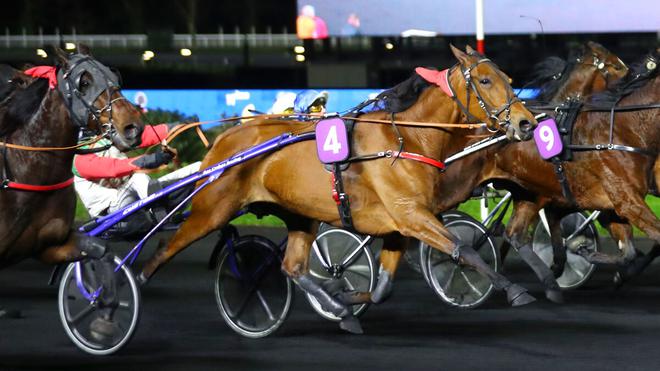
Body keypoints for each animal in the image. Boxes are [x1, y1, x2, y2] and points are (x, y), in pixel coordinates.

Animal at [0, 46, 145, 318]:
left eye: (114, 75)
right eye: (83, 82)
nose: (133, 127)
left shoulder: (49, 245)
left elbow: (101, 249)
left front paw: (103, 306)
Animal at [137, 45, 540, 332]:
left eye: (507, 76)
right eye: (485, 81)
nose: (526, 123)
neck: (407, 138)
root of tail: (226, 139)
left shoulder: (399, 226)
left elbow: (383, 288)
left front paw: (344, 296)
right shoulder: (412, 216)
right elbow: (464, 249)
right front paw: (515, 290)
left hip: (299, 215)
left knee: (293, 266)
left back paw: (335, 306)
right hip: (211, 210)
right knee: (161, 250)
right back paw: (132, 289)